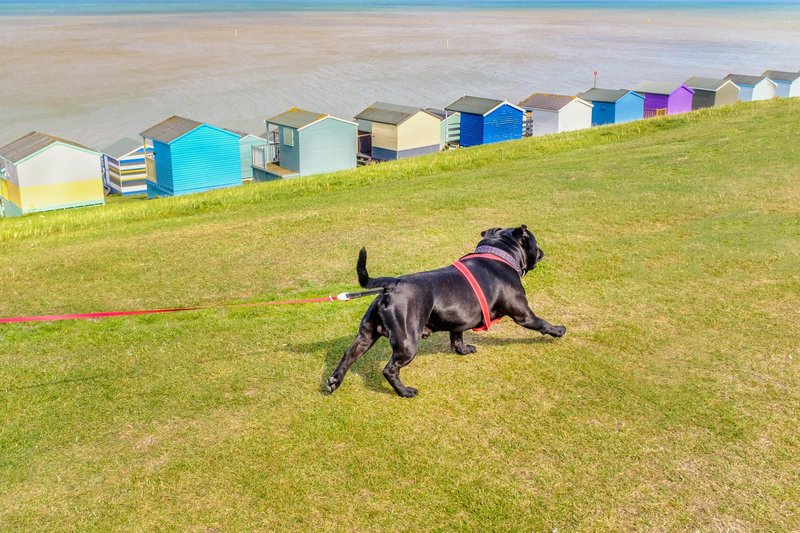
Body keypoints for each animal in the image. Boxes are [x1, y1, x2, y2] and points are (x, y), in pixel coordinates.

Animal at [324, 223, 564, 394]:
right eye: (534, 242)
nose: (542, 251)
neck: (500, 252)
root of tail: (393, 284)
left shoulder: (459, 319)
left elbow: (457, 337)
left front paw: (463, 350)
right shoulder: (523, 313)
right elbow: (541, 323)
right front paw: (558, 330)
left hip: (367, 335)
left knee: (349, 355)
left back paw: (333, 382)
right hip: (407, 342)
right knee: (389, 369)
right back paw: (405, 392)